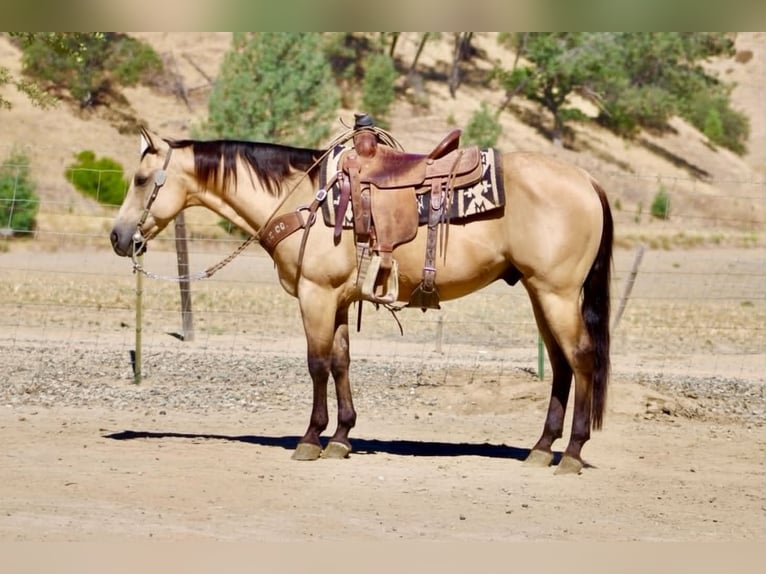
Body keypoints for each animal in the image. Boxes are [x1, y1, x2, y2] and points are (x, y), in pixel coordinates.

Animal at [110, 126, 613, 475]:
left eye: (141, 179)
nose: (118, 237)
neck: (302, 200)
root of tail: (588, 181)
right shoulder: (335, 298)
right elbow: (340, 362)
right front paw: (341, 437)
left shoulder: (314, 295)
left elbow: (316, 364)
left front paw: (310, 439)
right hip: (539, 292)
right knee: (561, 365)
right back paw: (541, 449)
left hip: (557, 294)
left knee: (582, 359)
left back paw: (571, 452)